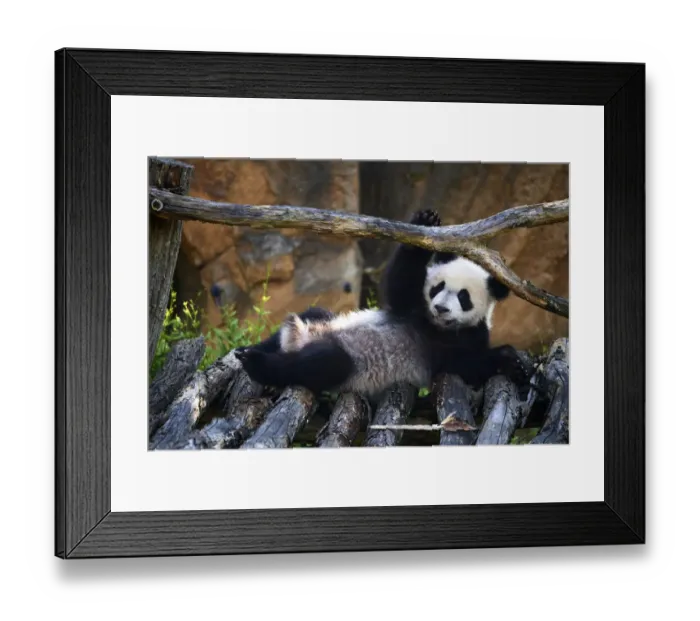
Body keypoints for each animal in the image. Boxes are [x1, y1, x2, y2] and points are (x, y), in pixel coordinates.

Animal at [236, 209, 530, 397]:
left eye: (463, 297)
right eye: (438, 287)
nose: (440, 308)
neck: (436, 326)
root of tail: (297, 339)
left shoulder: (466, 338)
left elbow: (462, 365)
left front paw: (510, 361)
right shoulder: (411, 308)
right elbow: (399, 287)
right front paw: (426, 222)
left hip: (343, 364)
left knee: (324, 363)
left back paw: (257, 364)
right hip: (319, 322)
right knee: (310, 317)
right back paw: (250, 352)